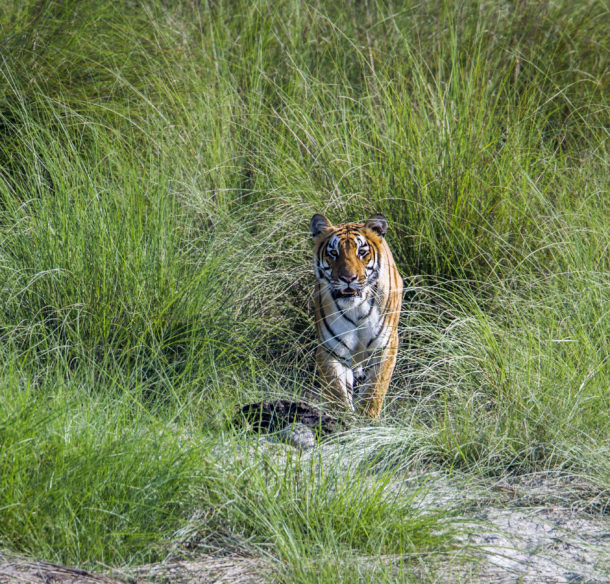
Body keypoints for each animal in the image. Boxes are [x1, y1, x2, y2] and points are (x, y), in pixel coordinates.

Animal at [308, 212, 404, 418]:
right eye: (333, 253)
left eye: (361, 252)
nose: (348, 278)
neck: (356, 308)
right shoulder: (331, 349)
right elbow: (336, 391)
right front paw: (342, 419)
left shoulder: (385, 345)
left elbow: (374, 390)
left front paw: (368, 420)